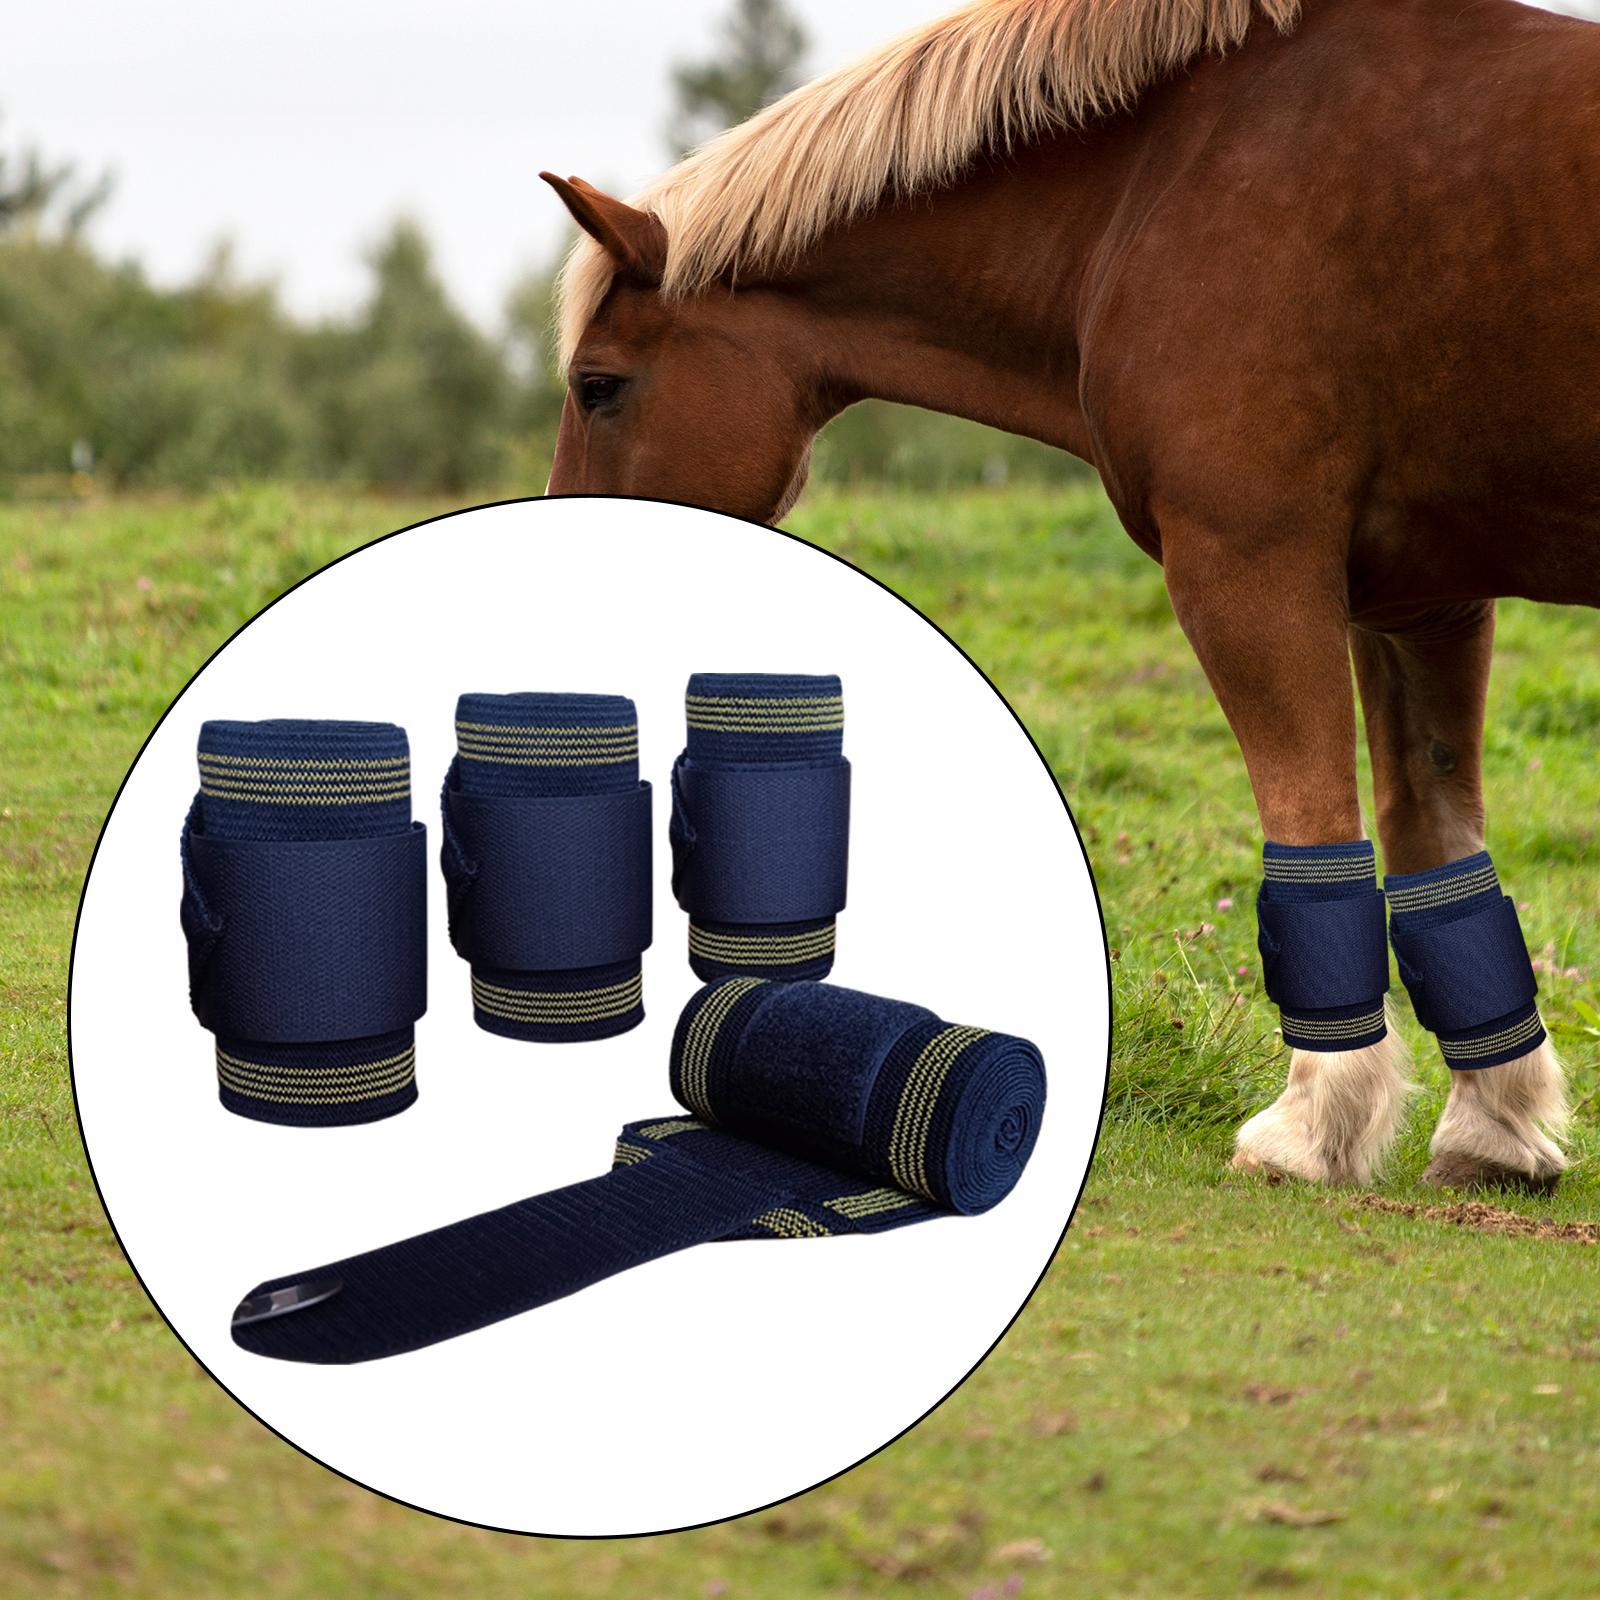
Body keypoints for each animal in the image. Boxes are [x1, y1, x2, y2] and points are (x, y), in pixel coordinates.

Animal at [540, 0, 1599, 1191]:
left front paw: (1310, 1125)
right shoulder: (1420, 601)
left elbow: (1315, 822)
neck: (1163, 178)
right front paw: (1491, 1129)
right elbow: (1436, 844)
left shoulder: (1248, 558)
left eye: (598, 386)